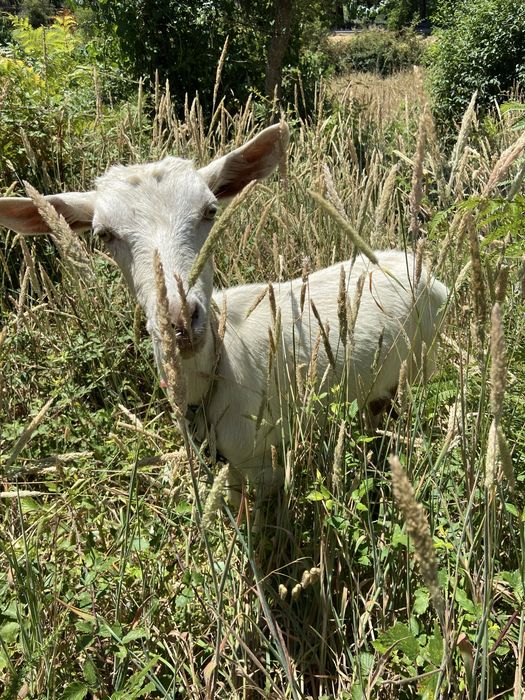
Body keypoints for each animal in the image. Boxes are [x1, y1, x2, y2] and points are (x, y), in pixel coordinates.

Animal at [0, 123, 448, 499]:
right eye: (103, 235)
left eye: (210, 211)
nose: (179, 321)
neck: (218, 369)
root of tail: (424, 270)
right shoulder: (226, 460)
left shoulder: (262, 459)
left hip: (421, 366)